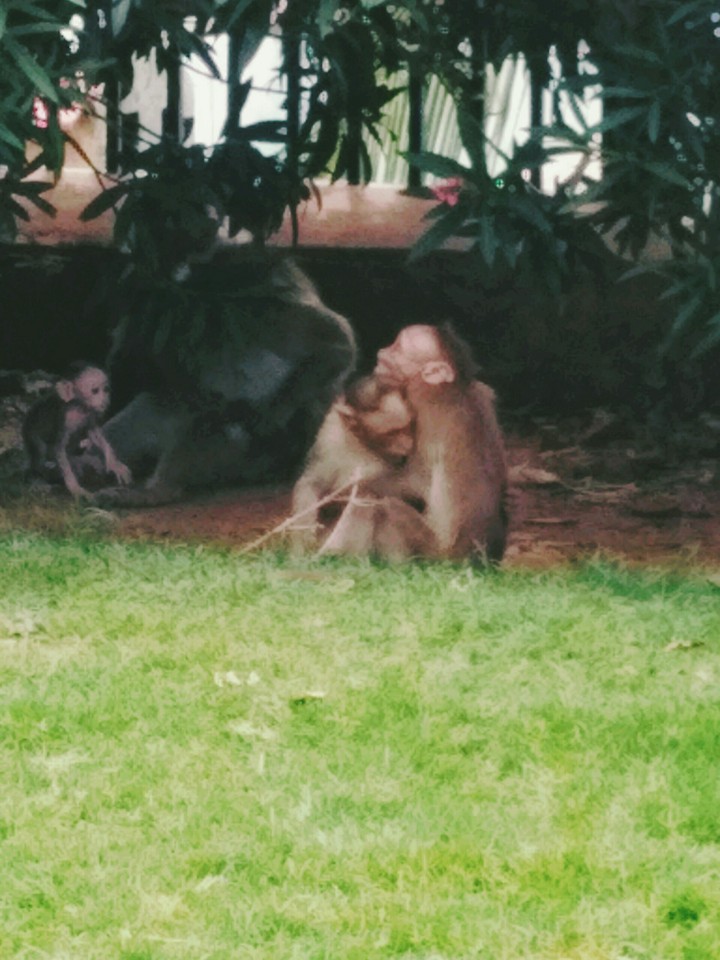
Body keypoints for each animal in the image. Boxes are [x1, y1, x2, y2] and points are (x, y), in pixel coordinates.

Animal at [22, 361, 132, 499]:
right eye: (95, 391)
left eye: (106, 390)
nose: (105, 400)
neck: (78, 406)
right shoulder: (63, 417)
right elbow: (59, 448)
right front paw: (75, 488)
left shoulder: (90, 413)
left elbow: (94, 433)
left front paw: (114, 464)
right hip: (29, 431)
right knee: (41, 451)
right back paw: (38, 476)